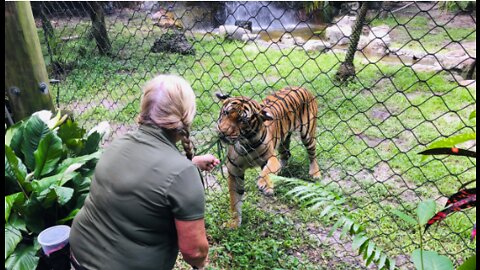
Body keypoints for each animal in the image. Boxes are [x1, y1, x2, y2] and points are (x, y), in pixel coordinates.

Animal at [216, 87, 320, 228]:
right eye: (226, 113)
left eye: (242, 121)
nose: (223, 132)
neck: (245, 142)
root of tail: (302, 87)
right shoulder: (235, 172)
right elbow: (235, 202)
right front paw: (234, 223)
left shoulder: (271, 158)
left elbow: (268, 170)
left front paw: (264, 184)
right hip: (283, 140)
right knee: (286, 155)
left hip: (307, 133)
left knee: (312, 153)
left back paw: (315, 173)